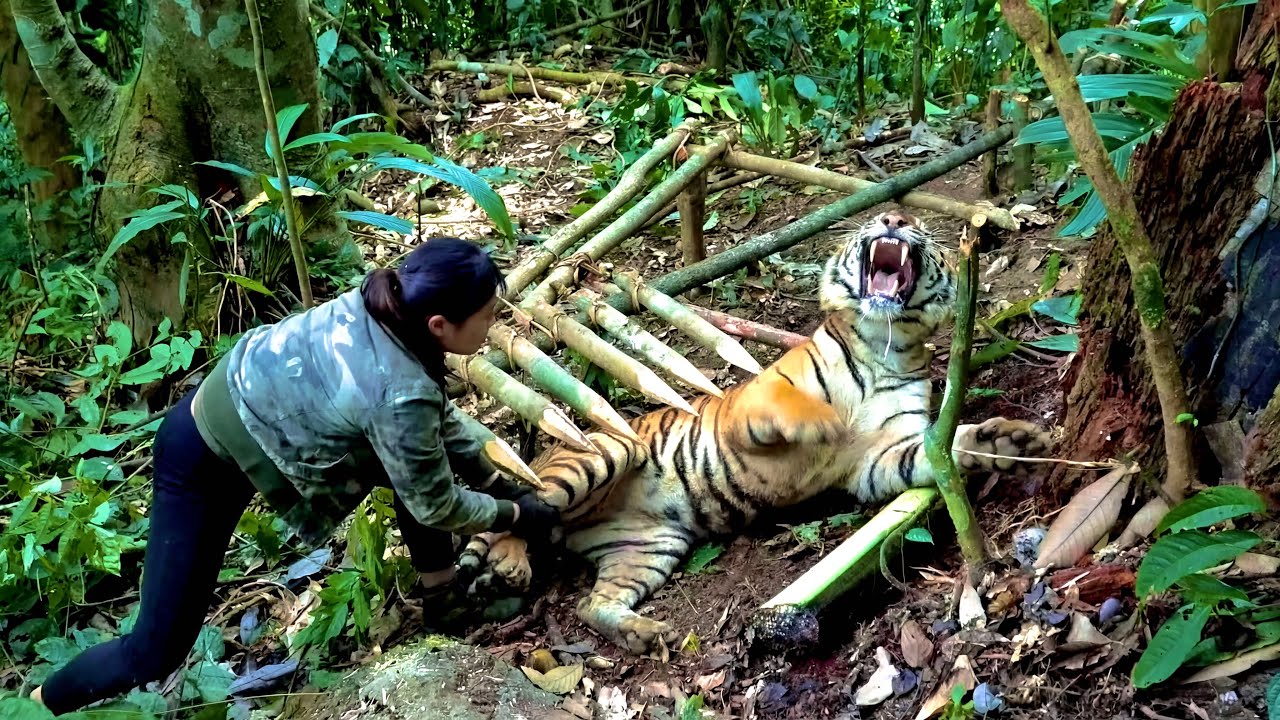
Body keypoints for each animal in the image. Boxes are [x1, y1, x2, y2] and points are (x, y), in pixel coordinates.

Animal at [456, 210, 1054, 655]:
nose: (895, 216)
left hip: (649, 546)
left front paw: (1011, 441)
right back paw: (510, 564)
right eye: (883, 219)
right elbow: (795, 405)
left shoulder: (883, 458)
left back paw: (640, 633)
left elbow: (946, 447)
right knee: (520, 507)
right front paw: (826, 423)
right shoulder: (753, 402)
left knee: (588, 598)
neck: (882, 343)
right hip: (603, 452)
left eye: (921, 230)